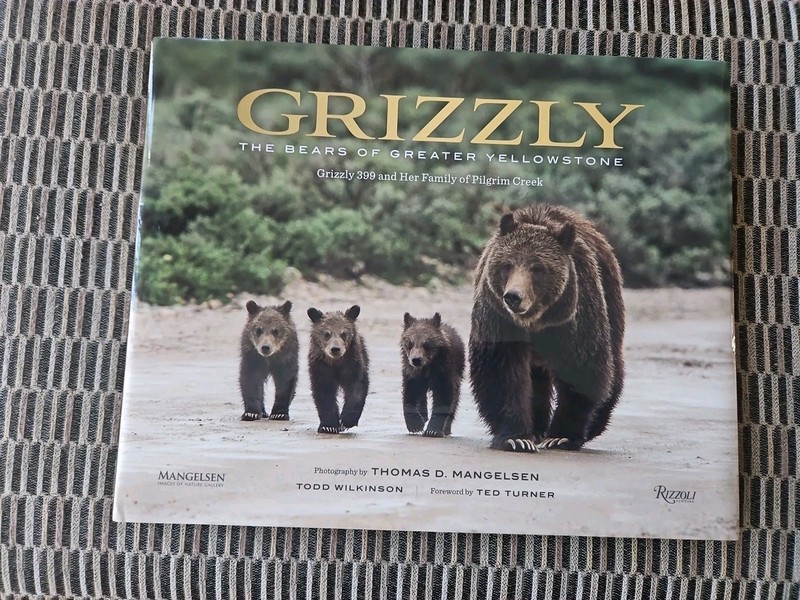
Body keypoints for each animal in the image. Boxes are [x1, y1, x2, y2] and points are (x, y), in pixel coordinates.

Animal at [307, 305, 370, 434]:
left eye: (343, 333)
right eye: (327, 333)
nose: (335, 349)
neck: (336, 363)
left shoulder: (353, 365)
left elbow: (357, 388)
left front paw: (346, 421)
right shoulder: (321, 368)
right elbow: (324, 393)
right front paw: (328, 426)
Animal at [469, 204, 625, 452]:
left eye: (537, 268)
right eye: (507, 265)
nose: (513, 297)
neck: (536, 320)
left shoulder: (574, 318)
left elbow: (581, 368)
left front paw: (561, 436)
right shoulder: (499, 319)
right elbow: (501, 371)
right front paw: (516, 438)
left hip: (610, 297)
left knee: (612, 364)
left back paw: (594, 424)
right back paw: (536, 428)